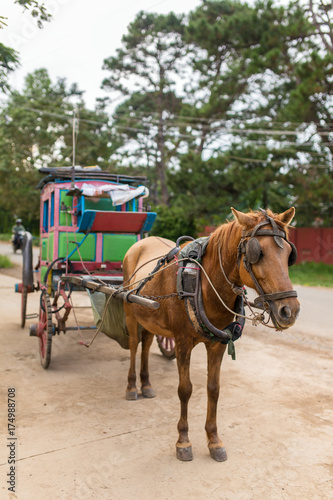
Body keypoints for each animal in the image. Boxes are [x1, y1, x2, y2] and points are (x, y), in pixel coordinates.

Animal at [121, 206, 298, 460]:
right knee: (135, 345)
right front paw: (183, 441)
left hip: (149, 316)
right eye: (258, 253)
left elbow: (213, 389)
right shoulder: (182, 342)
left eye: (289, 255)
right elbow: (185, 390)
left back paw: (146, 384)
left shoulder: (218, 344)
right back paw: (132, 386)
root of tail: (141, 243)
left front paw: (213, 440)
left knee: (146, 344)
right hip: (129, 309)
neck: (203, 284)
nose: (290, 311)